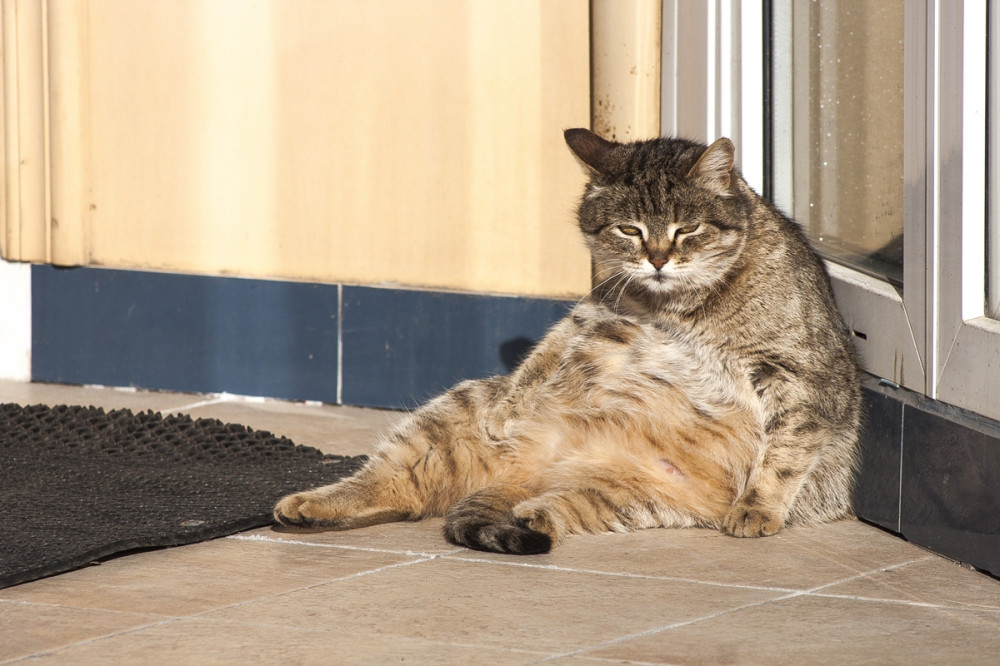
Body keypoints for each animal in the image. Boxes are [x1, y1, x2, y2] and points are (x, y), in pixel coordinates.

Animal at [274, 127, 860, 552]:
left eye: (688, 229)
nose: (658, 259)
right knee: (393, 487)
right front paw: (512, 407)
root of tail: (526, 475)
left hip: (622, 499)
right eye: (629, 230)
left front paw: (757, 508)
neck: (680, 306)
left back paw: (536, 513)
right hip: (444, 421)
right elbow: (547, 350)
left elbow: (783, 454)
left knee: (546, 508)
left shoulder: (803, 378)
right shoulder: (600, 313)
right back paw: (312, 504)